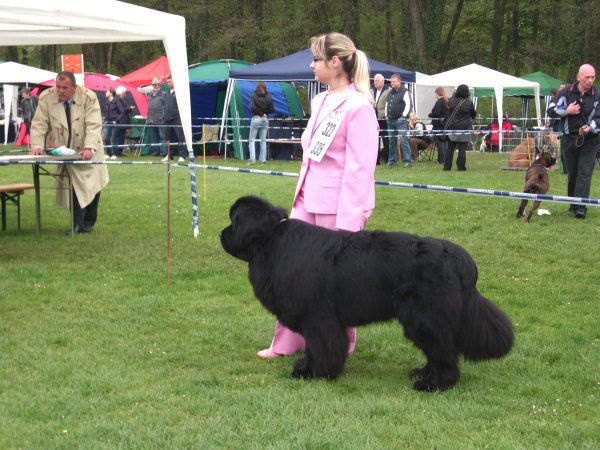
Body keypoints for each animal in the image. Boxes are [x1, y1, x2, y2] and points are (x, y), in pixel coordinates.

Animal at [223, 196, 512, 390]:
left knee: (442, 350)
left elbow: (320, 346)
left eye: (234, 222)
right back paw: (423, 373)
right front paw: (307, 368)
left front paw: (318, 373)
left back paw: (435, 384)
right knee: (437, 348)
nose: (220, 233)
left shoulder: (318, 317)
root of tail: (455, 255)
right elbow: (314, 347)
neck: (270, 242)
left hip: (423, 315)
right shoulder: (317, 318)